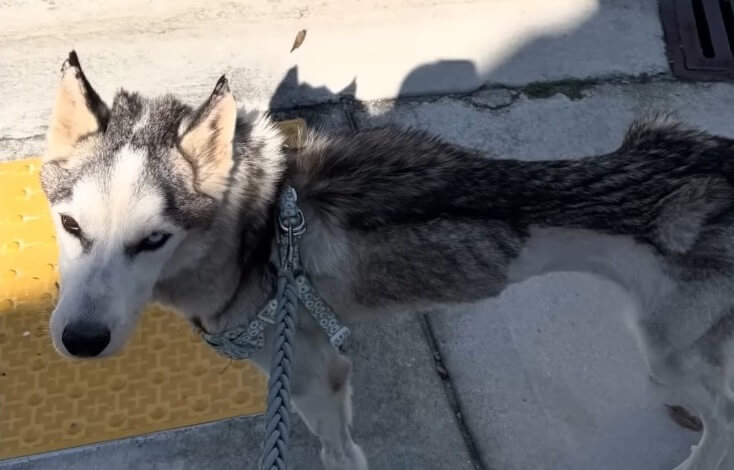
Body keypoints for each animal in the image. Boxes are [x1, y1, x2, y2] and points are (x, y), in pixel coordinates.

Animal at [39, 51, 734, 470]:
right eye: (71, 227)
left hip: (666, 359)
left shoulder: (313, 374)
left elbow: (338, 452)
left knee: (722, 419)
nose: (81, 341)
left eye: (152, 240)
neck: (254, 226)